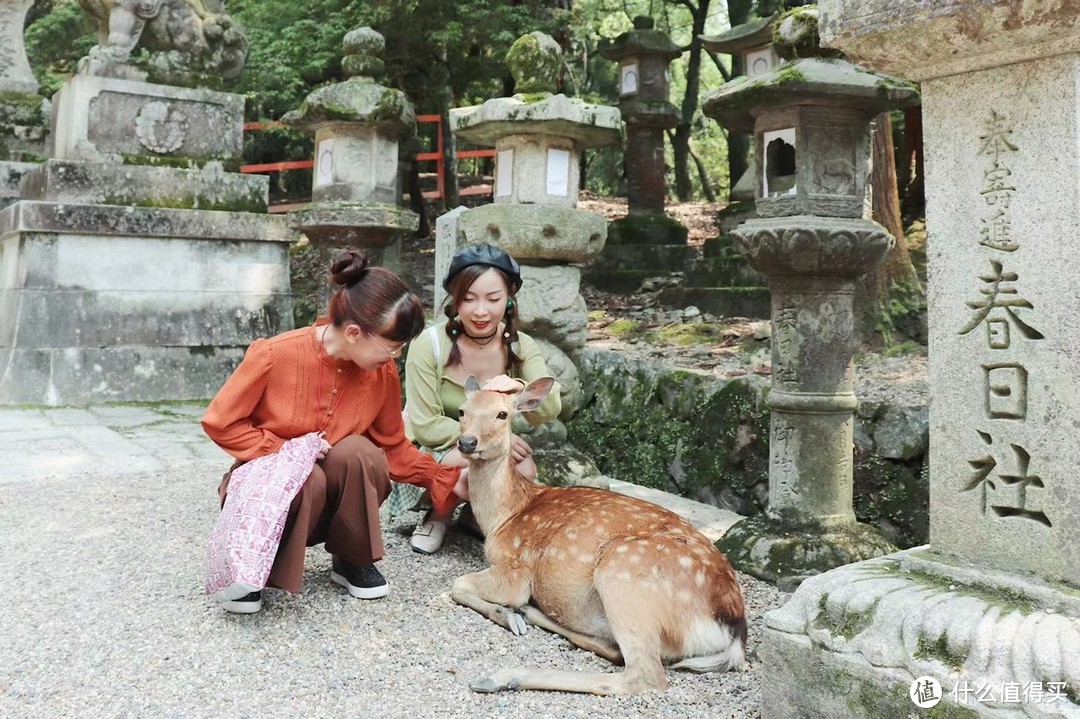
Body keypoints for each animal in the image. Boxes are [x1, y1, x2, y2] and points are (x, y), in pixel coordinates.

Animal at [447, 375, 743, 695]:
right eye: (462, 411)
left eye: (502, 414)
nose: (467, 442)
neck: (503, 517)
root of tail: (733, 629)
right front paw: (513, 614)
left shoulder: (514, 568)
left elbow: (458, 584)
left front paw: (507, 614)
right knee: (615, 649)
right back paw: (532, 615)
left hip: (624, 576)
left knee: (644, 674)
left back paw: (502, 675)